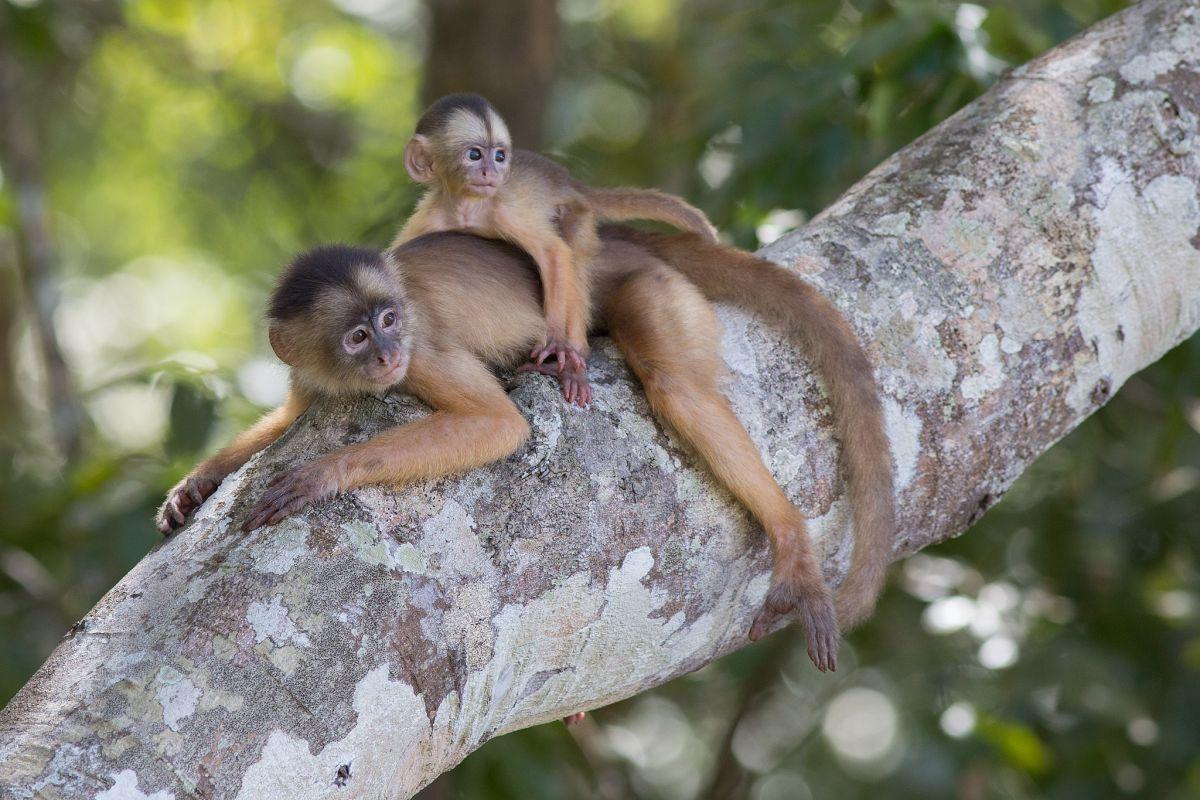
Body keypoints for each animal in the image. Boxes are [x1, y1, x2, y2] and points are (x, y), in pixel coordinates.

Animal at [157, 231, 892, 676]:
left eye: (390, 321)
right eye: (358, 335)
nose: (387, 353)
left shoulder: (423, 352)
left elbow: (498, 426)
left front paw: (320, 475)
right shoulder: (314, 377)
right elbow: (285, 419)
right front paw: (195, 486)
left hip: (649, 286)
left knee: (676, 385)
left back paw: (790, 540)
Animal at [391, 94, 720, 407]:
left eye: (499, 155)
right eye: (474, 154)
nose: (491, 171)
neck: (467, 208)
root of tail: (568, 181)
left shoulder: (503, 209)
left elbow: (555, 252)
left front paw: (557, 342)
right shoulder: (429, 218)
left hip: (578, 211)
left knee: (573, 246)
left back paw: (575, 363)